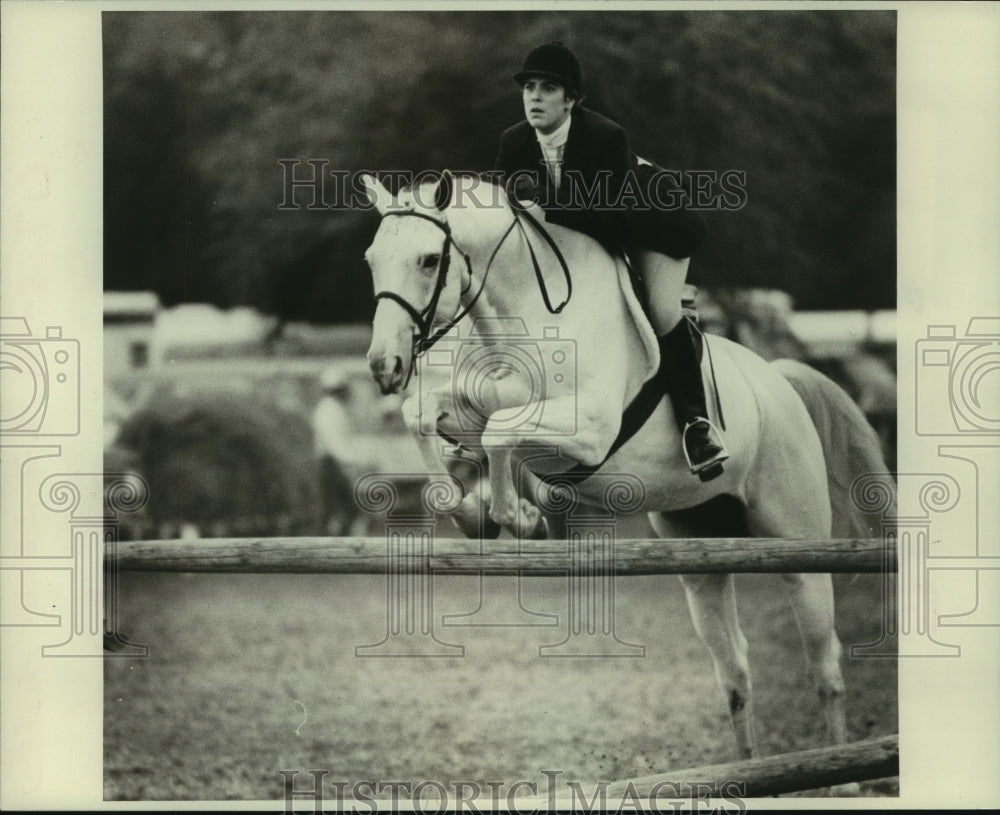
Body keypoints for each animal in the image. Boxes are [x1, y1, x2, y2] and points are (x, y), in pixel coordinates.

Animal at [364, 171, 896, 772]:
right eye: (372, 259)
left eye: (430, 259)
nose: (385, 366)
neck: (523, 313)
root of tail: (778, 379)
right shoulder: (475, 411)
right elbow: (423, 415)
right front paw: (472, 513)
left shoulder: (589, 429)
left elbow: (501, 432)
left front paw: (518, 518)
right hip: (699, 554)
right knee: (735, 668)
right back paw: (748, 765)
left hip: (798, 547)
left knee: (824, 663)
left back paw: (840, 772)